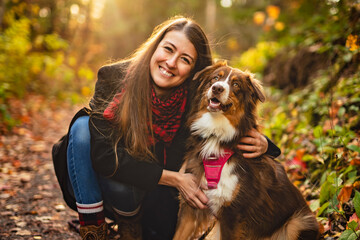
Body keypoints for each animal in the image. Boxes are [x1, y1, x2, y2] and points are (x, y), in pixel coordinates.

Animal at [173, 62, 320, 240]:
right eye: (215, 78)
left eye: (236, 85)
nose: (217, 88)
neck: (216, 137)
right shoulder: (190, 204)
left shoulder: (233, 213)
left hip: (297, 223)